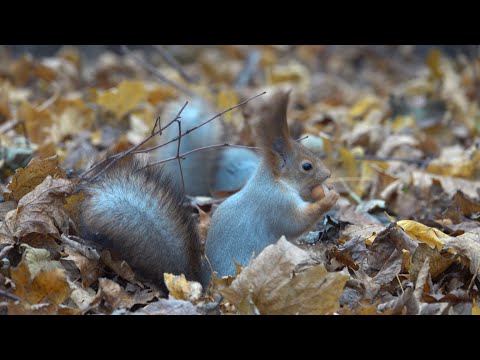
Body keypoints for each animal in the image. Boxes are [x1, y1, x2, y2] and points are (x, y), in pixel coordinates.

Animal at [79, 90, 340, 290]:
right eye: (306, 166)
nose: (328, 174)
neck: (275, 182)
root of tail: (207, 284)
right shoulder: (275, 204)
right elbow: (294, 223)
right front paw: (330, 198)